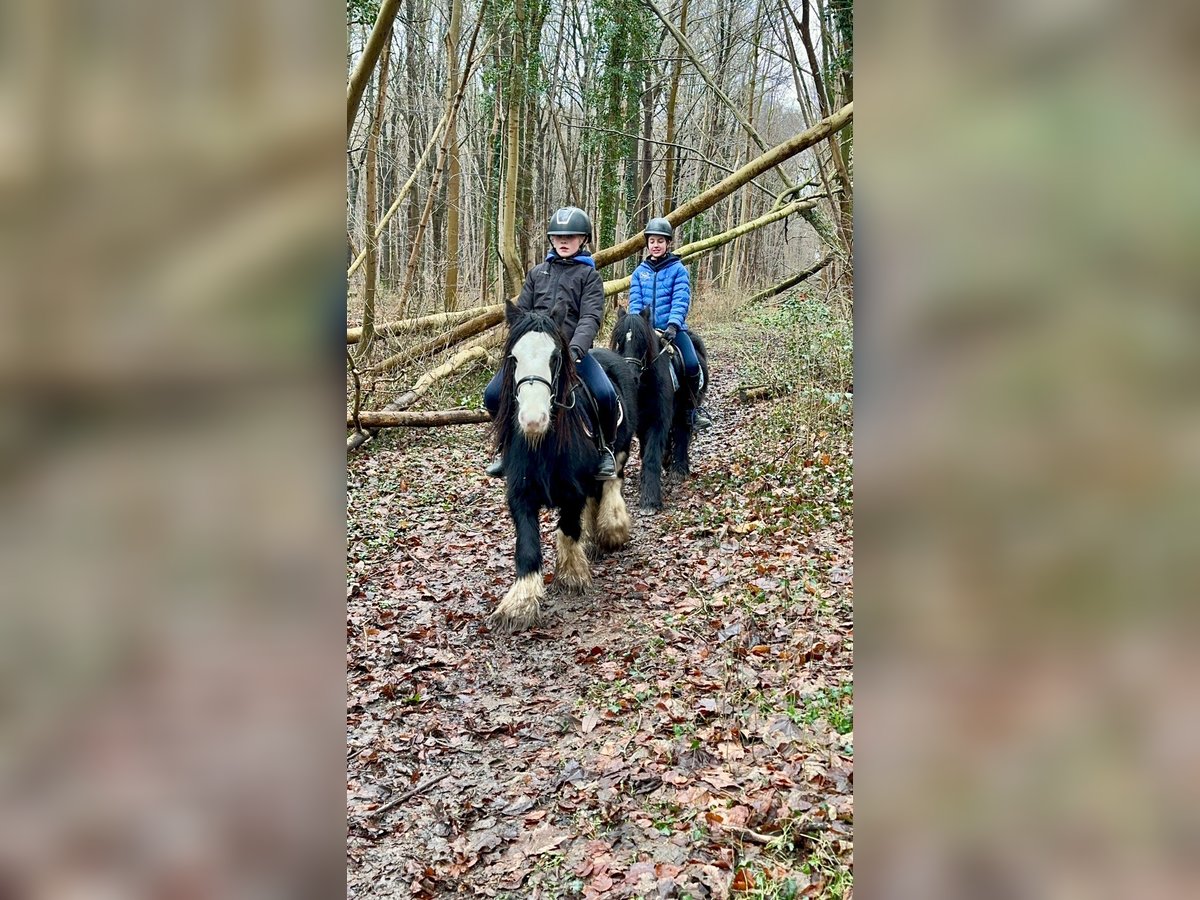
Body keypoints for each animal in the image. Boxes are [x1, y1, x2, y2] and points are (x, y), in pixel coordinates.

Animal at [487, 303, 638, 633]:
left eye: (555, 357)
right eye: (513, 358)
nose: (533, 420)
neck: (542, 444)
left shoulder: (572, 492)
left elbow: (568, 528)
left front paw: (572, 576)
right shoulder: (520, 495)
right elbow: (528, 546)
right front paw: (518, 606)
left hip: (620, 450)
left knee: (612, 483)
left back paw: (611, 530)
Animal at [614, 307, 705, 511]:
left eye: (642, 341)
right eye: (619, 341)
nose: (629, 377)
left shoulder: (658, 420)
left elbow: (651, 455)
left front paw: (650, 499)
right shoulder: (641, 423)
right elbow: (644, 451)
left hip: (684, 409)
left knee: (682, 433)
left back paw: (679, 469)